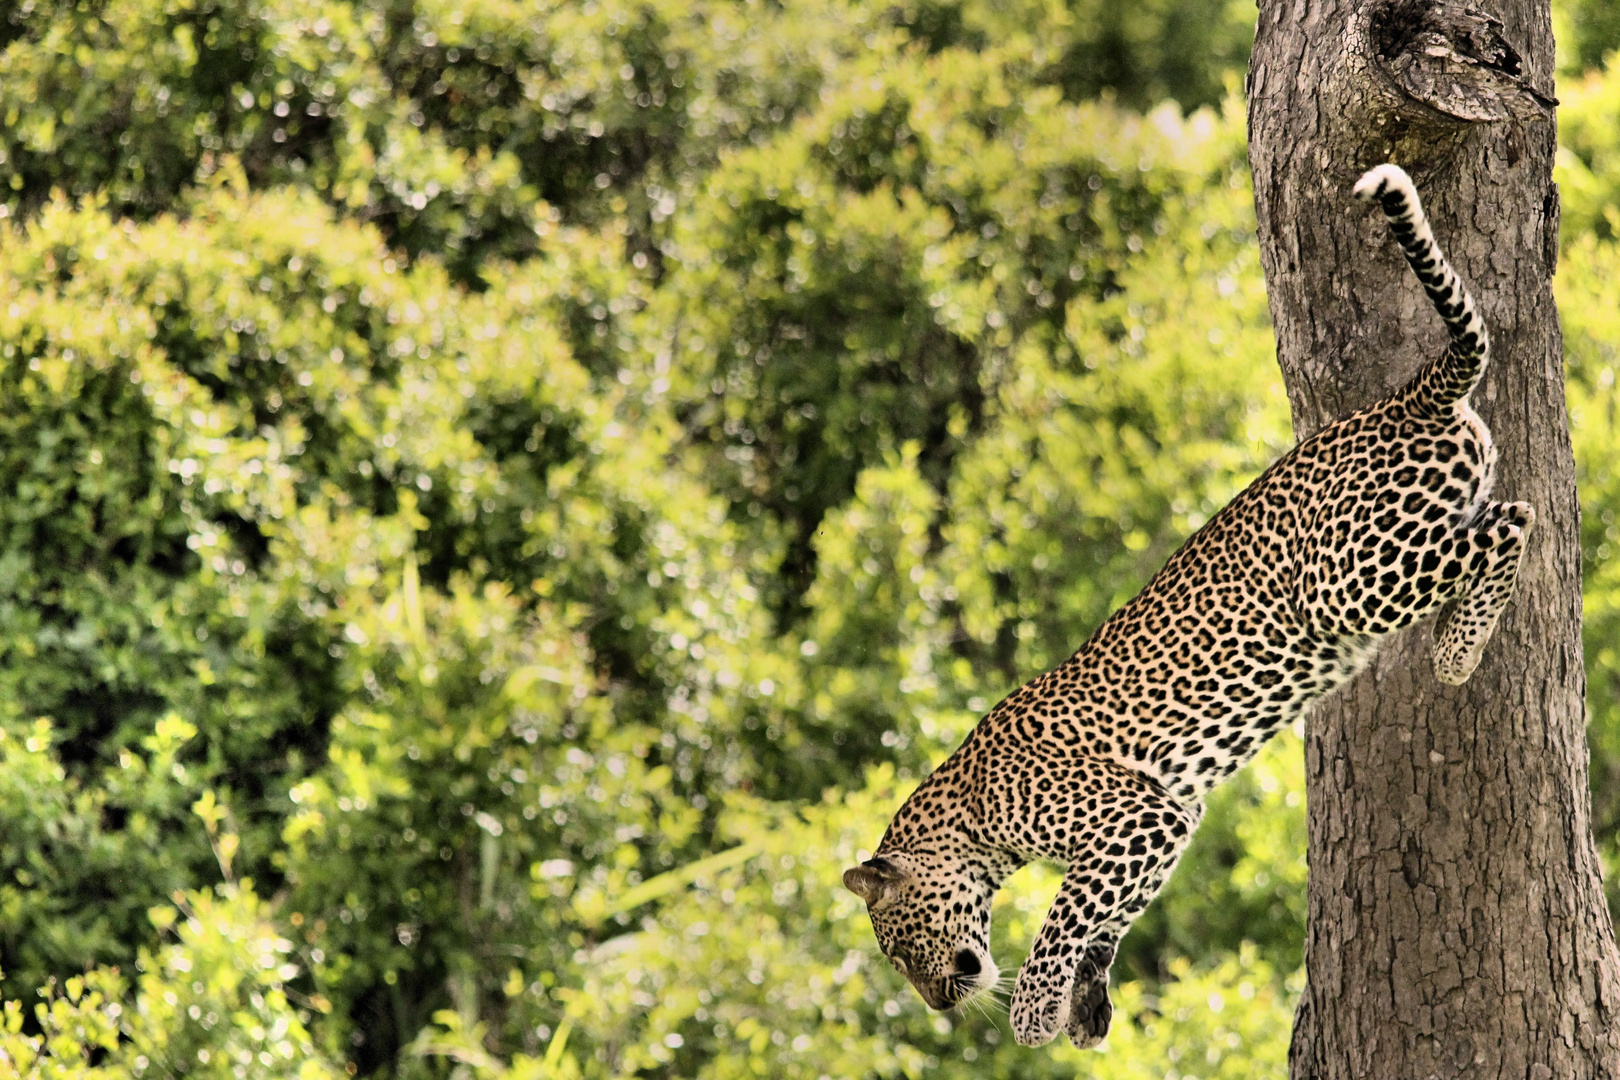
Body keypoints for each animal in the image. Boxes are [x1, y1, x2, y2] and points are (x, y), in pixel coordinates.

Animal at [842, 165, 1535, 1049]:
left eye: (900, 948)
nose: (936, 1004)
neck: (968, 812)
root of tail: (1404, 399)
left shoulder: (1138, 812)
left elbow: (1062, 914)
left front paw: (1034, 1010)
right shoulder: (1166, 822)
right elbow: (1104, 915)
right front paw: (1087, 1005)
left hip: (1349, 580)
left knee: (1515, 519)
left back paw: (1456, 648)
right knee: (1498, 517)